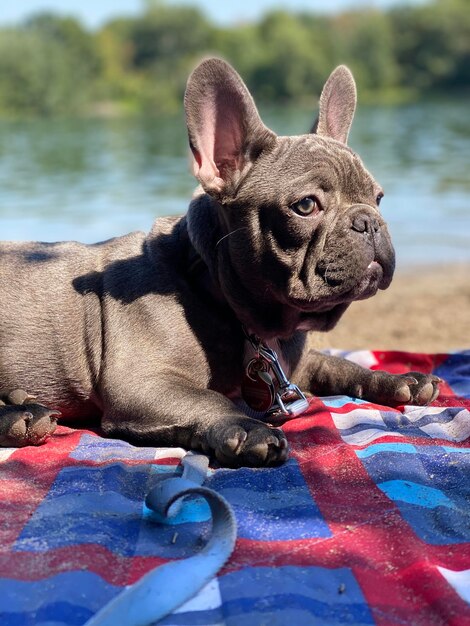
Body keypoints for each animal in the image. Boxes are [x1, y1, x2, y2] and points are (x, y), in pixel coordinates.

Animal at [0, 58, 440, 466]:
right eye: (306, 206)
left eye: (378, 198)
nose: (368, 222)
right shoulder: (143, 383)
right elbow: (209, 399)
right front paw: (248, 429)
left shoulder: (294, 365)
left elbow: (336, 365)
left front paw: (394, 379)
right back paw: (19, 419)